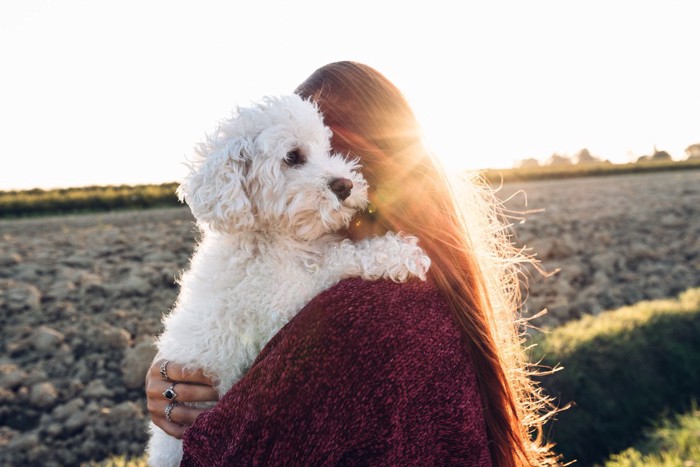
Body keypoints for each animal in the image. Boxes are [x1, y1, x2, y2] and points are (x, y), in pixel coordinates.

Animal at [147, 93, 430, 466]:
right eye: (292, 157)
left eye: (327, 149)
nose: (345, 185)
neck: (272, 238)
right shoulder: (280, 303)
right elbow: (335, 261)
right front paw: (400, 253)